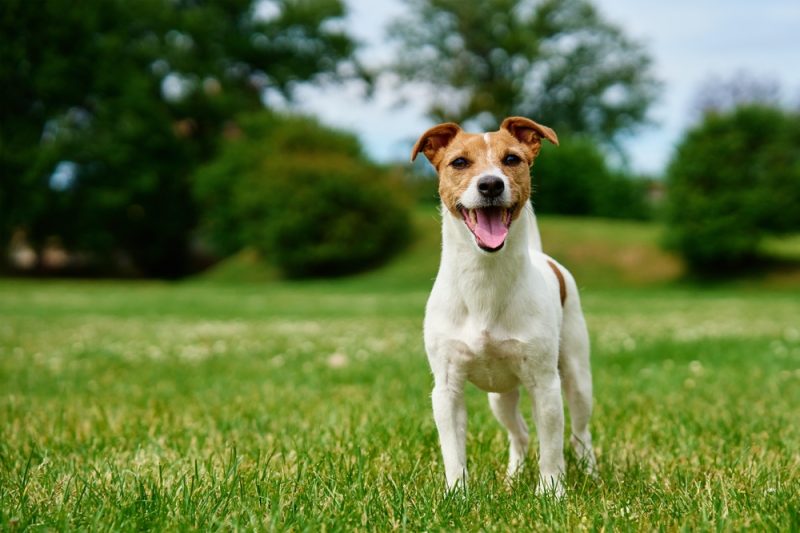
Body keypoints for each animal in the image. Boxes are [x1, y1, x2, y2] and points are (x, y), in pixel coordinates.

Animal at [412, 116, 592, 494]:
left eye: (512, 159)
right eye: (459, 162)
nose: (491, 184)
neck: (485, 280)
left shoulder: (546, 384)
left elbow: (552, 447)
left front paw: (550, 493)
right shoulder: (447, 389)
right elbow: (453, 452)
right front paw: (457, 495)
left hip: (576, 374)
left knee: (580, 433)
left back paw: (589, 470)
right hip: (501, 397)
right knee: (520, 433)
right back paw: (513, 477)